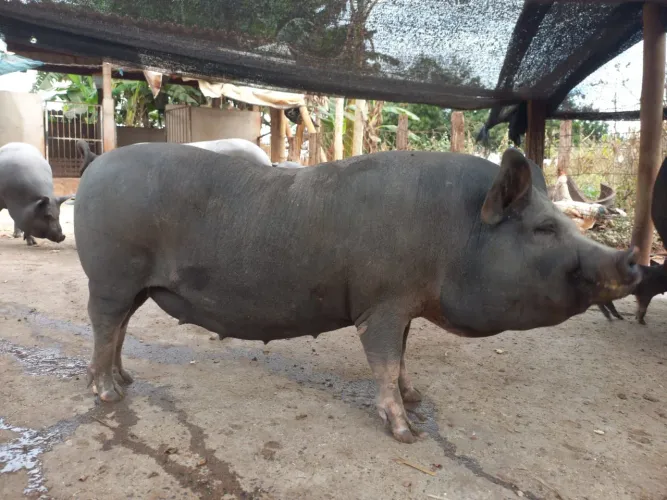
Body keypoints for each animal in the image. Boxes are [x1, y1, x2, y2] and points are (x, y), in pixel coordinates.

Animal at [74, 143, 639, 443]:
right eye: (544, 228)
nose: (631, 258)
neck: (453, 232)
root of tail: (93, 169)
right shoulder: (381, 302)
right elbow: (384, 361)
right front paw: (407, 433)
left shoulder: (406, 303)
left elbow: (404, 358)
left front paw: (416, 398)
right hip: (109, 277)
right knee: (103, 327)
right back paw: (107, 394)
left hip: (134, 286)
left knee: (119, 331)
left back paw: (127, 382)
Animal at [599, 156, 667, 324]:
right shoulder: (647, 293)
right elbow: (643, 307)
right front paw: (641, 321)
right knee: (605, 302)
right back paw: (615, 317)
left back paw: (615, 316)